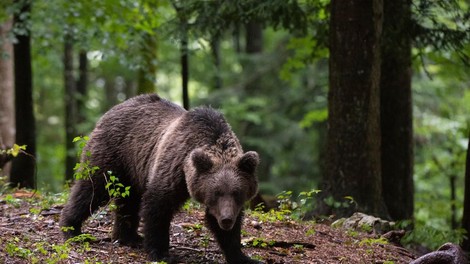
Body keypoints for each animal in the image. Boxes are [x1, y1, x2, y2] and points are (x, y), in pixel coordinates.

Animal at [58, 94, 260, 262]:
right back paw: (71, 228)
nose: (226, 219)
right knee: (92, 189)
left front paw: (242, 256)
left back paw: (129, 237)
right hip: (112, 153)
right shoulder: (174, 166)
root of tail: (114, 108)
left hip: (132, 171)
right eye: (216, 192)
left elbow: (224, 228)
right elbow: (158, 206)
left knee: (128, 200)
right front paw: (160, 252)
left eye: (237, 192)